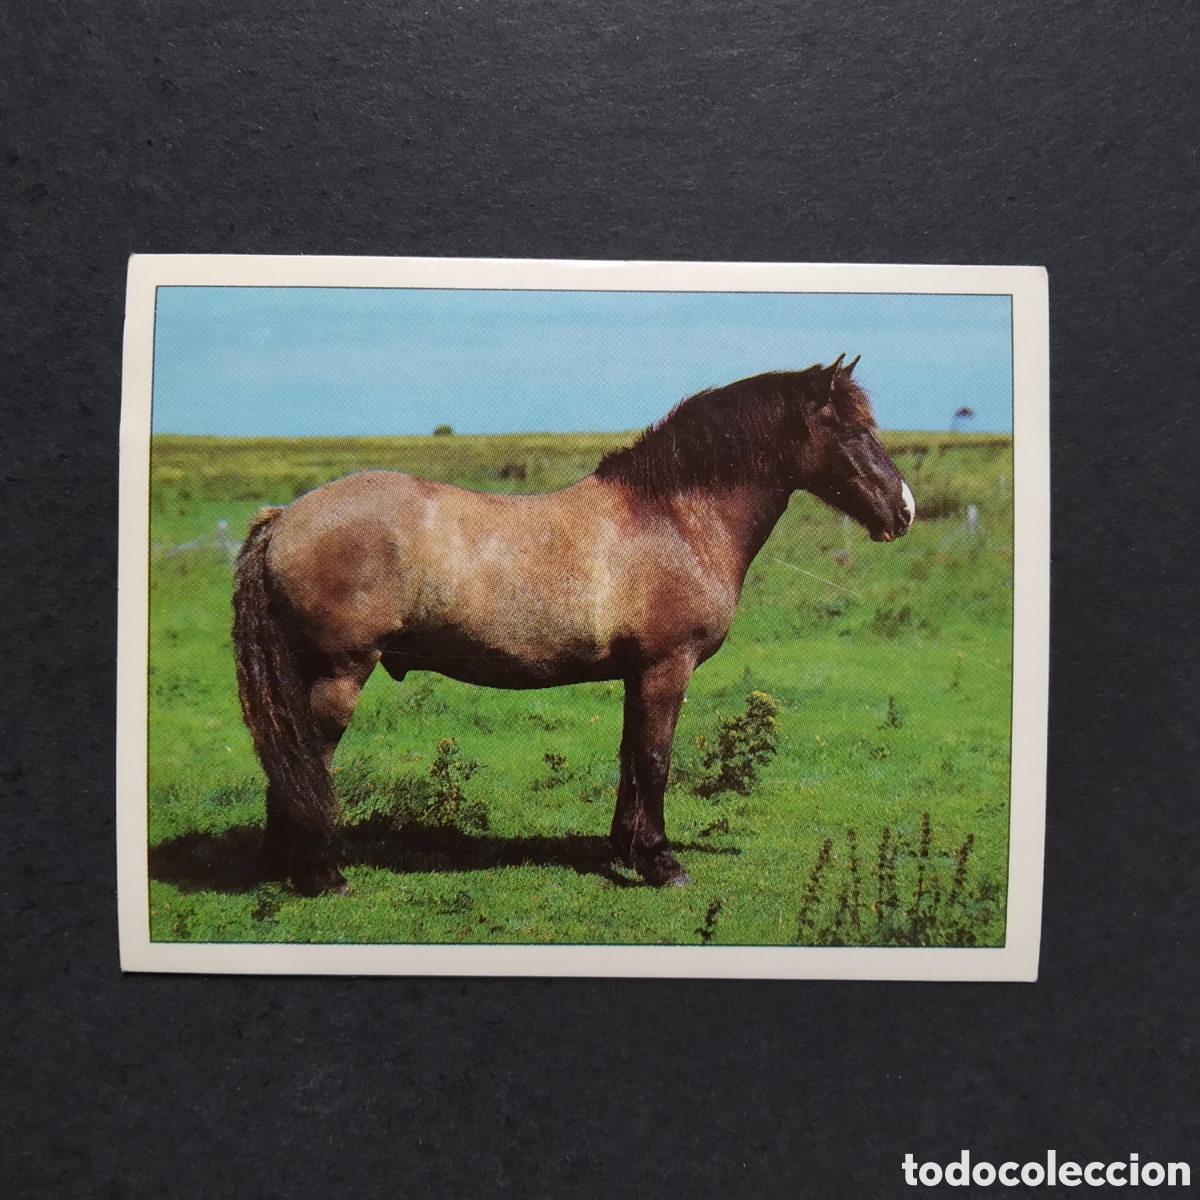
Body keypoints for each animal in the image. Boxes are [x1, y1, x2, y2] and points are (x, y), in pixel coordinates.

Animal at [231, 355, 915, 895]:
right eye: (853, 428)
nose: (903, 510)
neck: (672, 519)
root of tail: (285, 518)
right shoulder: (666, 668)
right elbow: (656, 759)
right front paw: (662, 863)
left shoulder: (638, 674)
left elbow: (631, 758)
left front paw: (626, 849)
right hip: (340, 674)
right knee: (311, 759)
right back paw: (322, 875)